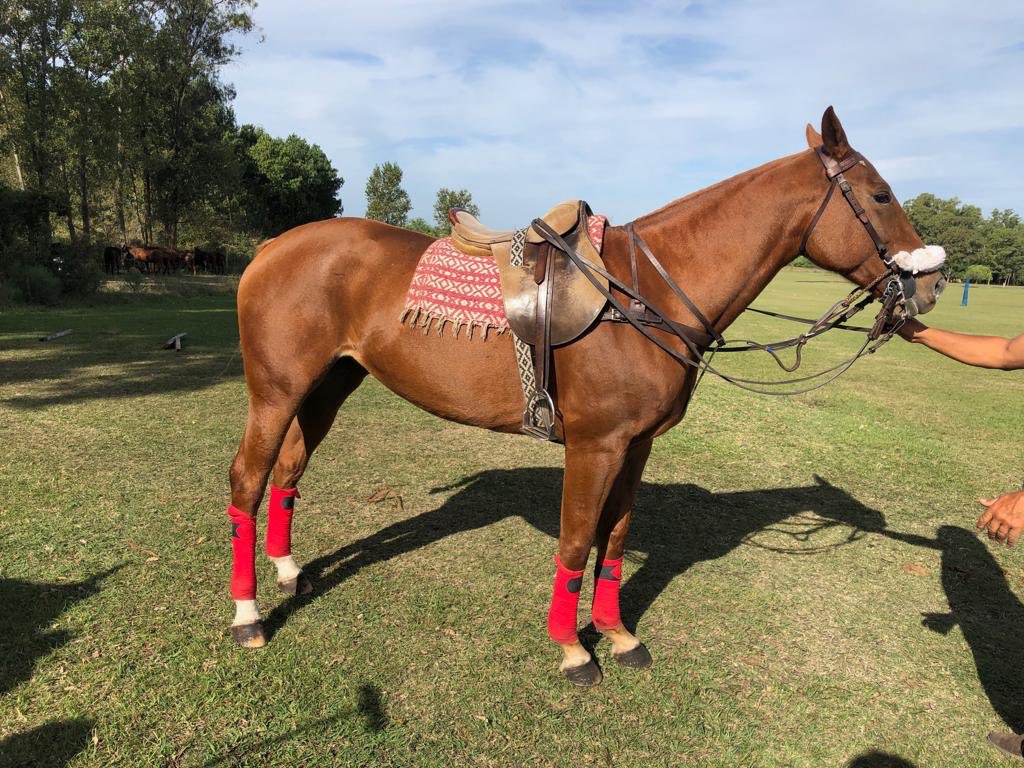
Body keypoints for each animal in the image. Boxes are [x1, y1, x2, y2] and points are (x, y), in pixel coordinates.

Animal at [223, 108, 946, 686]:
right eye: (880, 194)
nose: (932, 285)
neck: (647, 293)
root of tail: (271, 245)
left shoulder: (635, 446)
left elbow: (616, 537)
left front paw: (619, 635)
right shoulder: (595, 445)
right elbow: (575, 542)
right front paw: (573, 649)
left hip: (329, 385)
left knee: (289, 471)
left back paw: (288, 571)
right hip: (276, 390)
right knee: (248, 481)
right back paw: (248, 616)